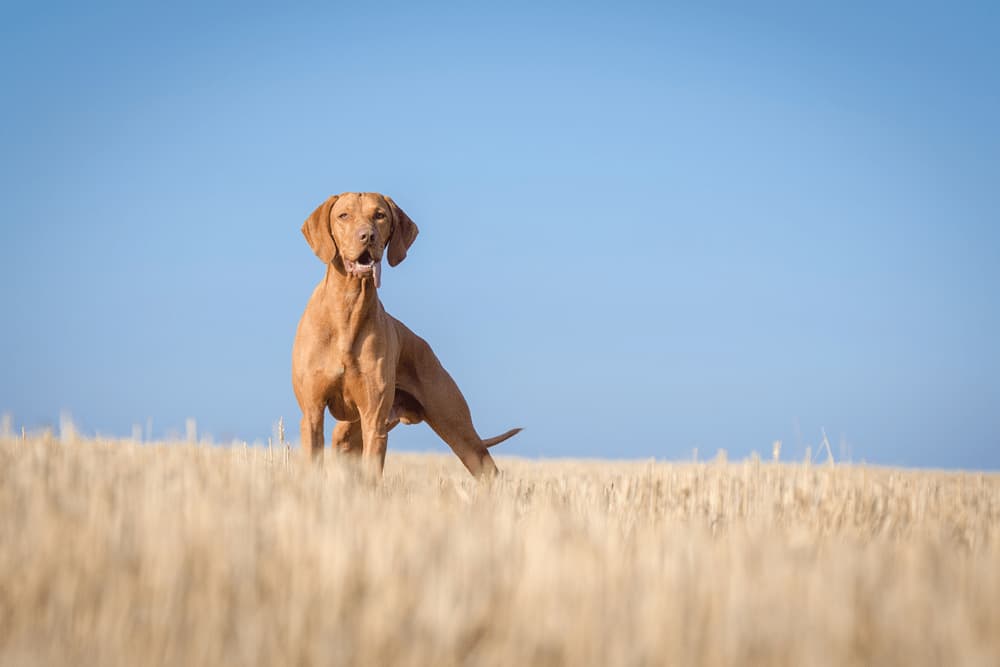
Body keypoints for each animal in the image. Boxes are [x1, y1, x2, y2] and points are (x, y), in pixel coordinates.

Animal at [292, 190, 520, 478]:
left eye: (379, 215)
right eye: (343, 215)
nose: (367, 236)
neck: (347, 308)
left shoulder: (374, 421)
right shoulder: (312, 412)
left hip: (460, 431)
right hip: (346, 437)